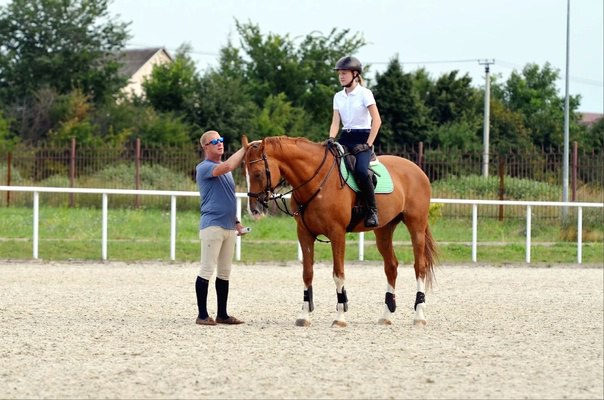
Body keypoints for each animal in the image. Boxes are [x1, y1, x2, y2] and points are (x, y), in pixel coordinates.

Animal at [243, 136, 436, 326]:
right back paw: (386, 315)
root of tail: (417, 169)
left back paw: (419, 315)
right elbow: (307, 273)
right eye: (245, 173)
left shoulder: (337, 234)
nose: (254, 210)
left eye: (258, 173)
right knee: (391, 267)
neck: (316, 181)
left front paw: (340, 317)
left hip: (416, 227)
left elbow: (338, 274)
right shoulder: (304, 234)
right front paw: (304, 315)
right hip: (383, 230)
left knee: (420, 267)